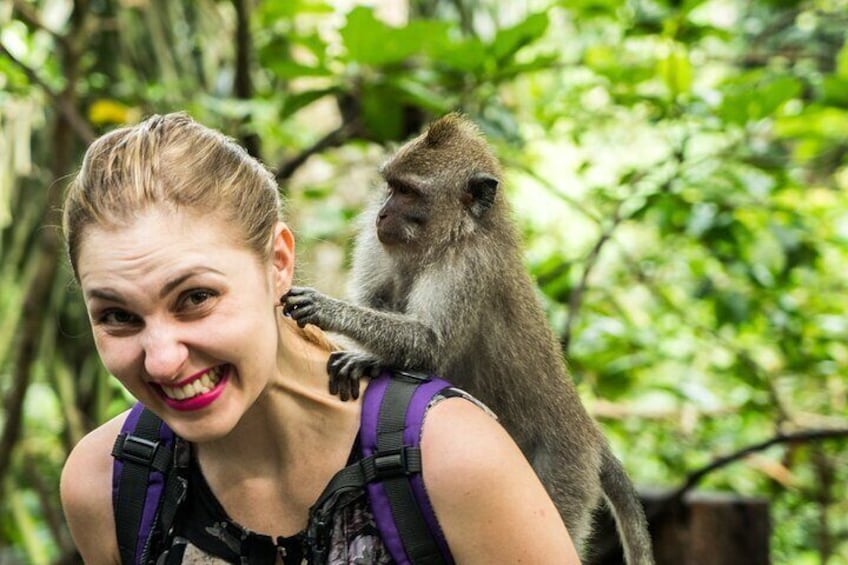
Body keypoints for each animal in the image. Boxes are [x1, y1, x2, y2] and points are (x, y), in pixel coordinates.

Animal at [282, 112, 652, 560]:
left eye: (408, 192)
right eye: (391, 186)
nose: (382, 215)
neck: (454, 235)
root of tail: (587, 432)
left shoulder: (467, 265)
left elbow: (429, 341)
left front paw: (327, 310)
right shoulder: (380, 244)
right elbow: (381, 303)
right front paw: (368, 358)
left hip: (563, 472)